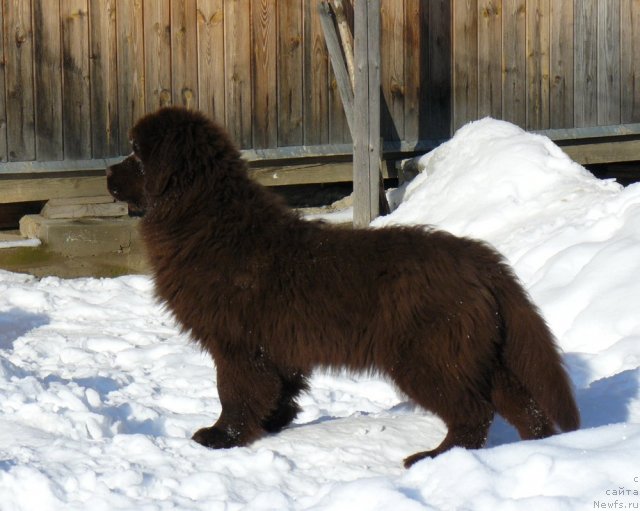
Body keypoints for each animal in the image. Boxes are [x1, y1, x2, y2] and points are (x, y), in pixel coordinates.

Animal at [106, 107, 580, 468]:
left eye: (135, 153)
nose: (107, 172)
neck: (207, 219)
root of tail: (480, 257)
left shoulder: (237, 343)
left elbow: (235, 392)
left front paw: (222, 437)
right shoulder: (272, 347)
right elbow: (277, 388)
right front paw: (273, 422)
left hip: (429, 356)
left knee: (473, 413)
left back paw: (432, 458)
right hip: (480, 352)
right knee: (523, 404)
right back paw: (540, 446)